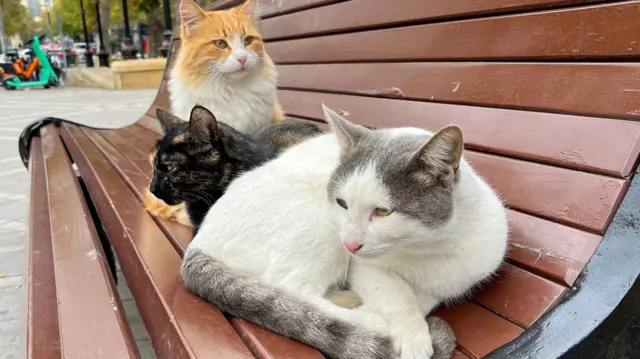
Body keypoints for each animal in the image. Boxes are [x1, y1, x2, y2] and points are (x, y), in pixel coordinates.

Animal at [181, 106, 510, 359]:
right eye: (342, 203)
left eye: (383, 212)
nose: (349, 244)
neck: (424, 249)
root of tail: (199, 241)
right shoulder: (363, 266)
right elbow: (398, 293)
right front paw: (413, 335)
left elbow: (426, 296)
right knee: (293, 290)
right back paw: (370, 320)